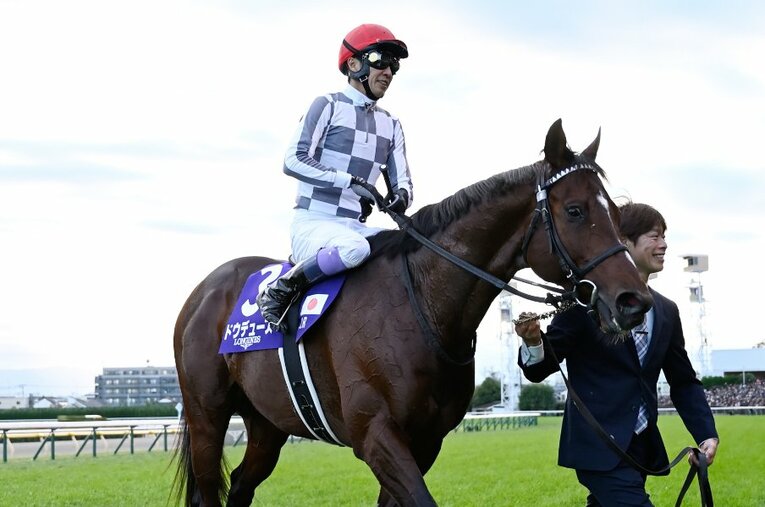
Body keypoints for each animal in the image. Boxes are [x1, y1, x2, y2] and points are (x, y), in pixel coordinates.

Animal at [172, 119, 653, 506]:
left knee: (241, 484)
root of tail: (203, 291)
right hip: (206, 416)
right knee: (208, 489)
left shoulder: (426, 441)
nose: (634, 301)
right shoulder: (376, 435)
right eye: (575, 211)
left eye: (615, 212)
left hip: (267, 423)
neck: (421, 307)